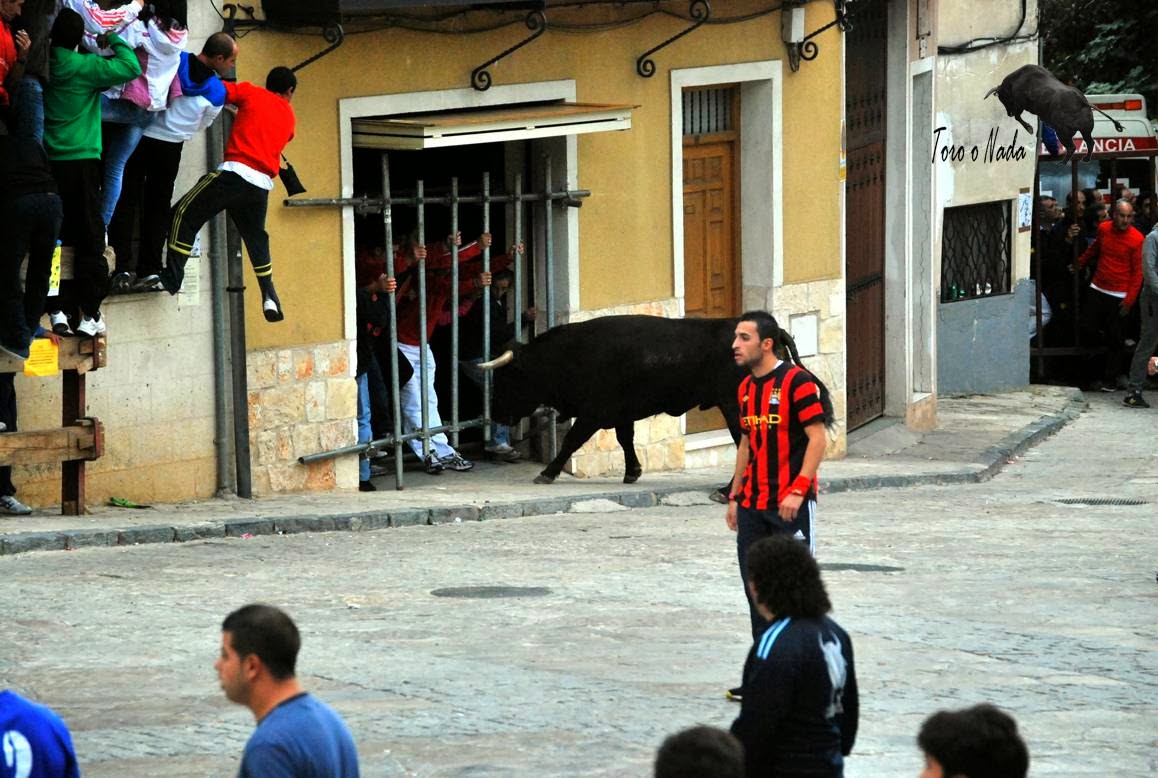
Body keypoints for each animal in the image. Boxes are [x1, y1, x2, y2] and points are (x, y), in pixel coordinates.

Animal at [478, 314, 833, 485]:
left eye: (508, 378)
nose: (496, 414)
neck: (573, 353)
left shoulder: (594, 412)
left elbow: (571, 442)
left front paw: (547, 473)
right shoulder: (621, 413)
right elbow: (625, 439)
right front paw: (633, 471)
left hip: (735, 407)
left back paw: (725, 491)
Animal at [985, 64, 1123, 162]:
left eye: (1002, 98)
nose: (1009, 113)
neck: (1015, 81)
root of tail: (1082, 101)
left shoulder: (1020, 104)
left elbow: (1018, 117)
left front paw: (1029, 128)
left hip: (1062, 132)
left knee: (1072, 147)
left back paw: (1062, 162)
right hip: (1085, 130)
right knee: (1089, 142)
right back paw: (1085, 159)